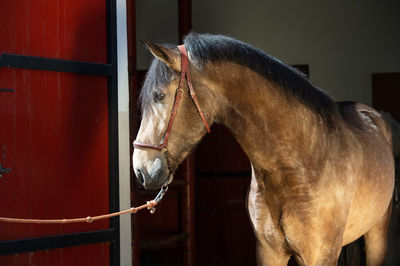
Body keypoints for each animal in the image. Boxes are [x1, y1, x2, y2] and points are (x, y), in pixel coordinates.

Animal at [132, 32, 394, 264]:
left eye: (158, 95)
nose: (140, 170)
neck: (301, 163)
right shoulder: (270, 253)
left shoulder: (321, 255)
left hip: (378, 233)